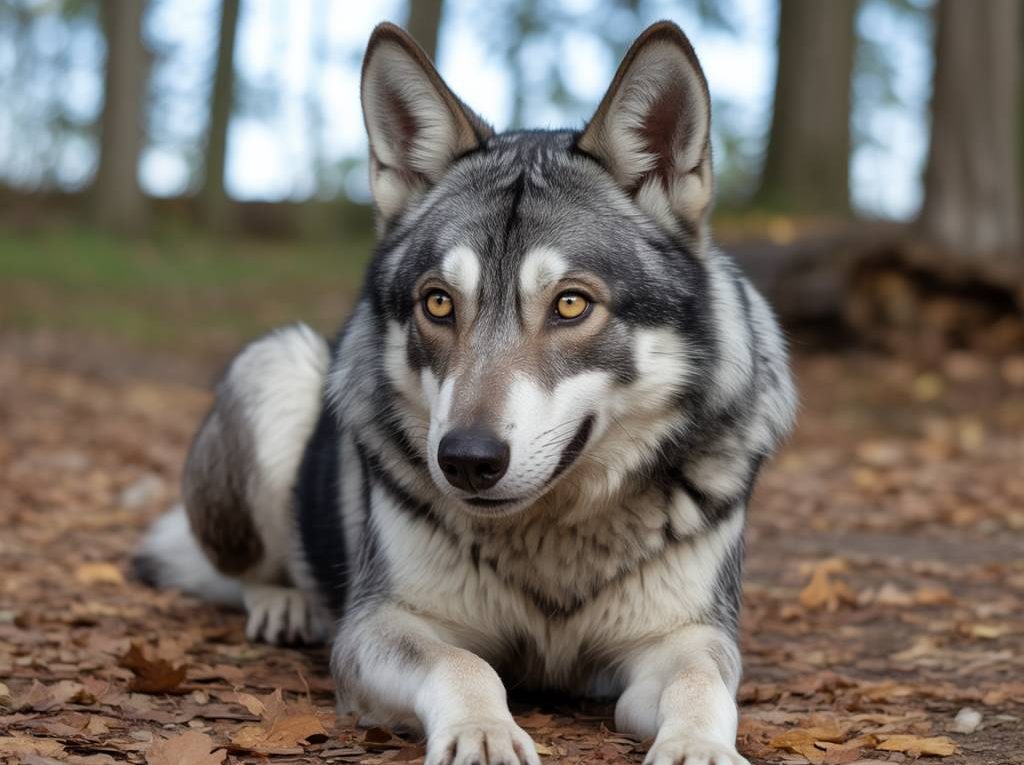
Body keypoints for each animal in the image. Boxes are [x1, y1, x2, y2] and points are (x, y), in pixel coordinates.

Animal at [136, 20, 796, 765]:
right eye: (439, 303)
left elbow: (700, 683)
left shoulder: (685, 636)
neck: (551, 539)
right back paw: (284, 602)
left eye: (571, 304)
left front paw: (699, 748)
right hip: (276, 362)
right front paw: (484, 731)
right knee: (244, 569)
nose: (466, 460)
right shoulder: (378, 626)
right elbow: (464, 663)